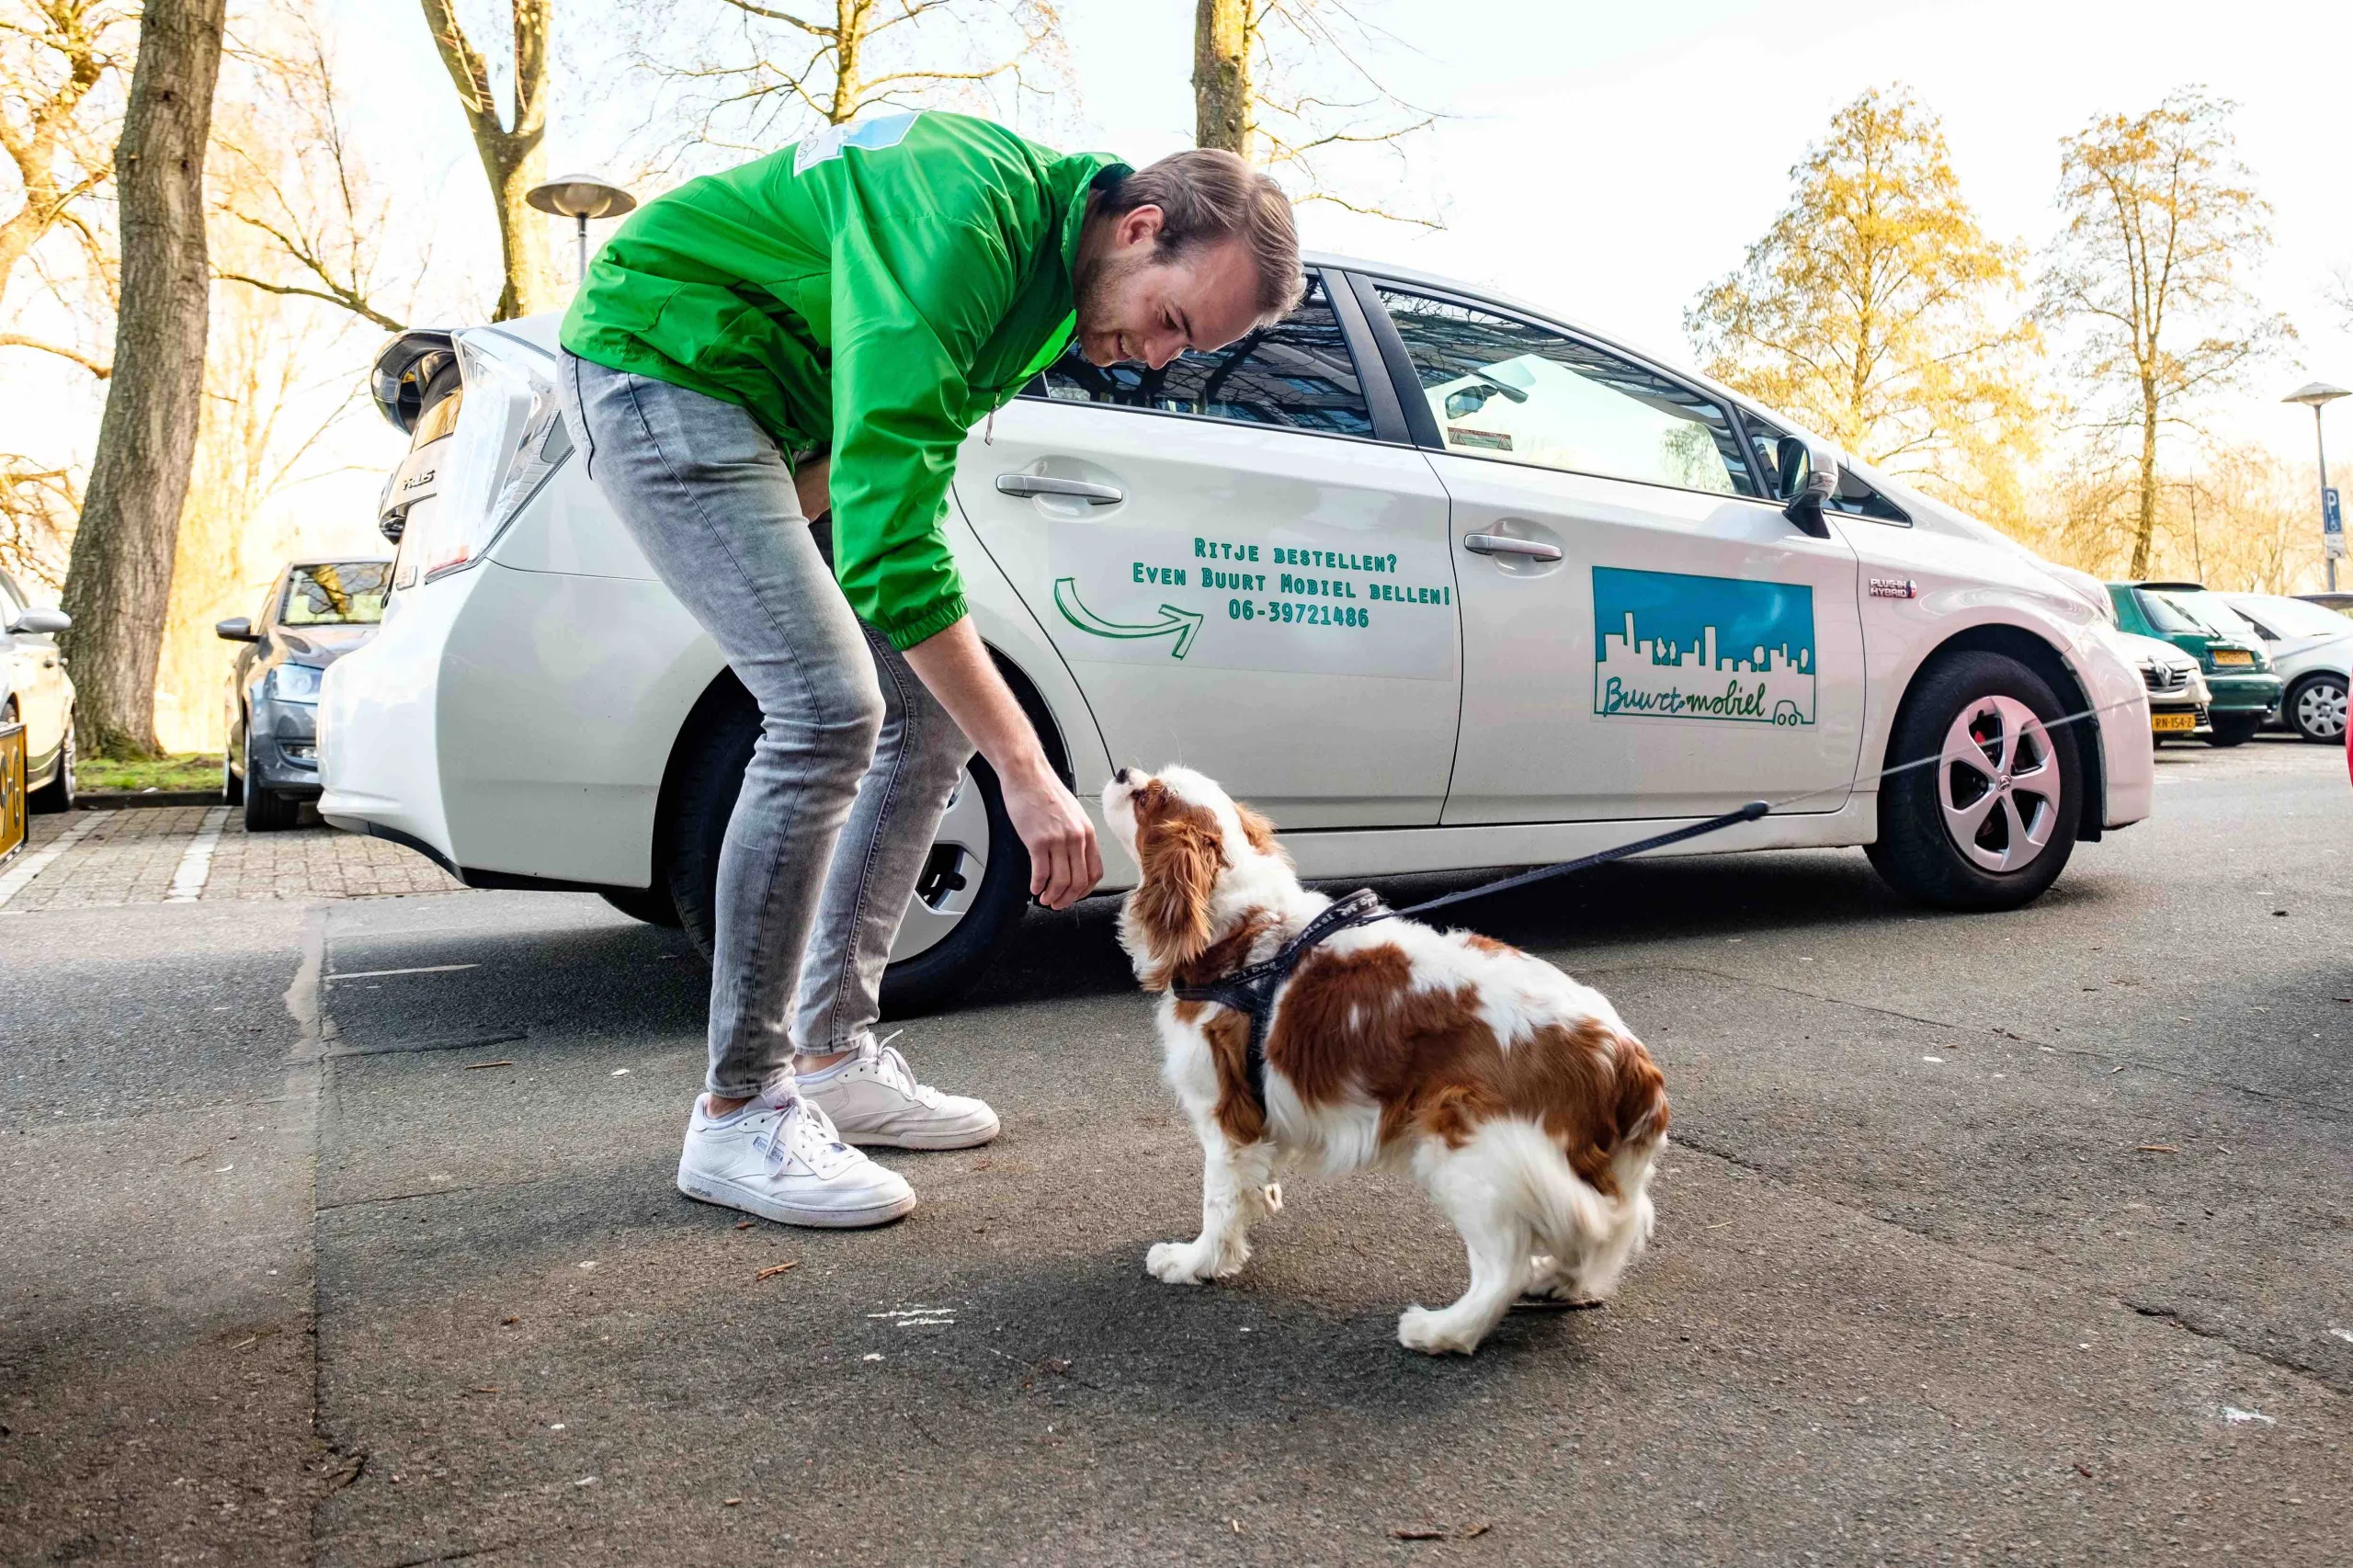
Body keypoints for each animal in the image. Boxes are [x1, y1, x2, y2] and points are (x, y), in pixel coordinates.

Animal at [1106, 762, 1675, 1346]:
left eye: (1147, 798)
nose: (1122, 771)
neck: (1245, 935)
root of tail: (1629, 1061)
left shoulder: (1225, 1116)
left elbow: (1218, 1201)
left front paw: (1194, 1263)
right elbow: (1250, 1186)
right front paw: (1257, 1206)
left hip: (1467, 1146)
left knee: (1505, 1267)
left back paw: (1441, 1330)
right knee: (1588, 1240)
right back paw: (1556, 1281)